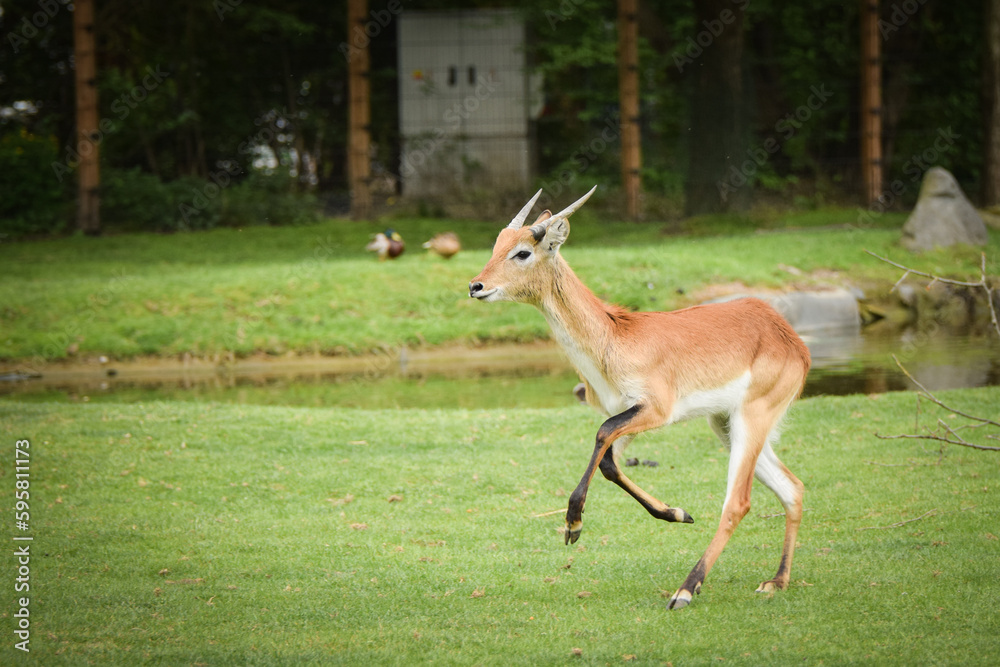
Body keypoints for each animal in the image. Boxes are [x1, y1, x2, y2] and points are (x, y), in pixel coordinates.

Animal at [470, 187, 812, 612]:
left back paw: (686, 590)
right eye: (496, 245)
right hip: (726, 423)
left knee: (738, 502)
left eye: (522, 252)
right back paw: (776, 581)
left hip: (752, 417)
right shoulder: (629, 413)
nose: (476, 286)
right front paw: (678, 513)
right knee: (792, 488)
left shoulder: (656, 411)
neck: (616, 337)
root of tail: (791, 338)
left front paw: (573, 523)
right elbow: (609, 462)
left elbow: (602, 434)